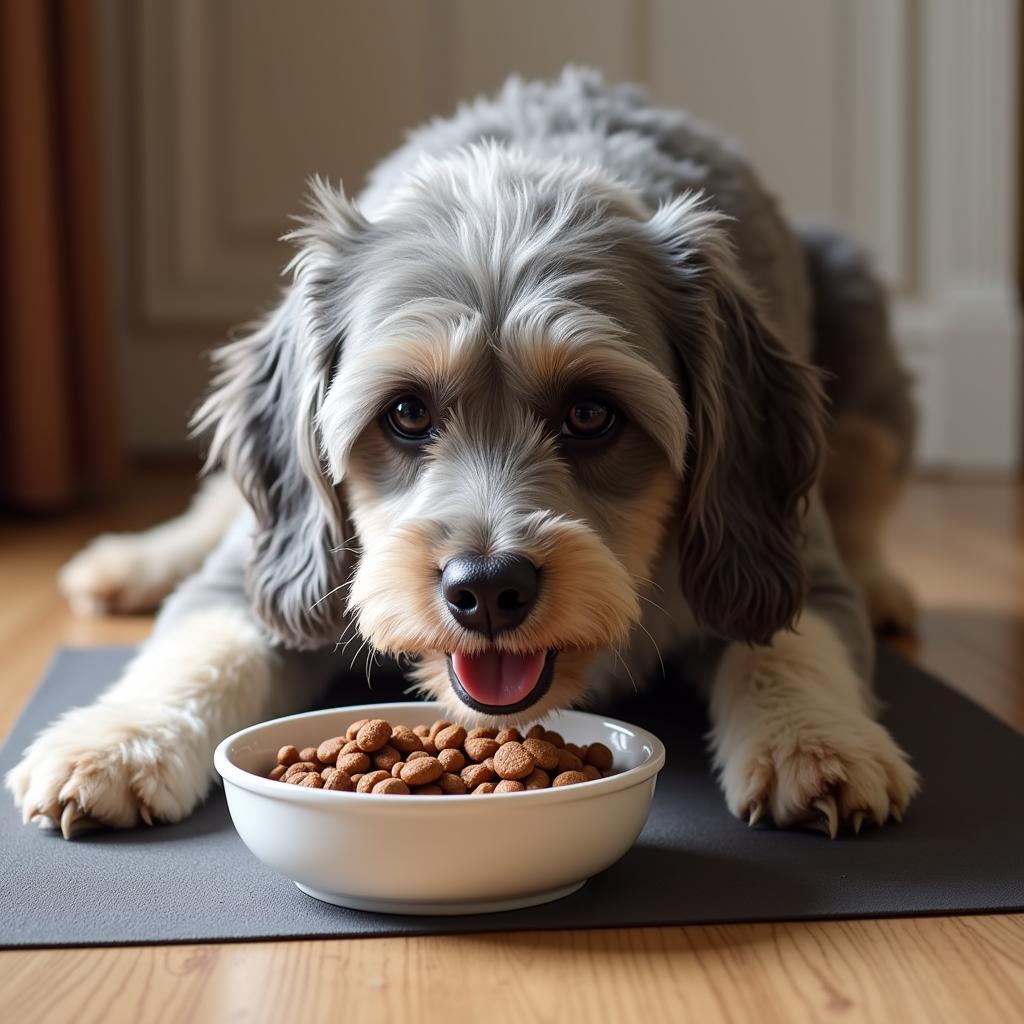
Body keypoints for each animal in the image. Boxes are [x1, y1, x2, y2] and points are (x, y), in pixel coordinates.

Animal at [9, 70, 921, 839]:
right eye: (406, 412)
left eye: (591, 413)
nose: (486, 589)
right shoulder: (263, 576)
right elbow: (202, 646)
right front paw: (115, 742)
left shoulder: (789, 559)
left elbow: (791, 650)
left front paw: (819, 742)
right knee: (213, 509)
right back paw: (131, 561)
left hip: (854, 306)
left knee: (867, 493)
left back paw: (886, 584)